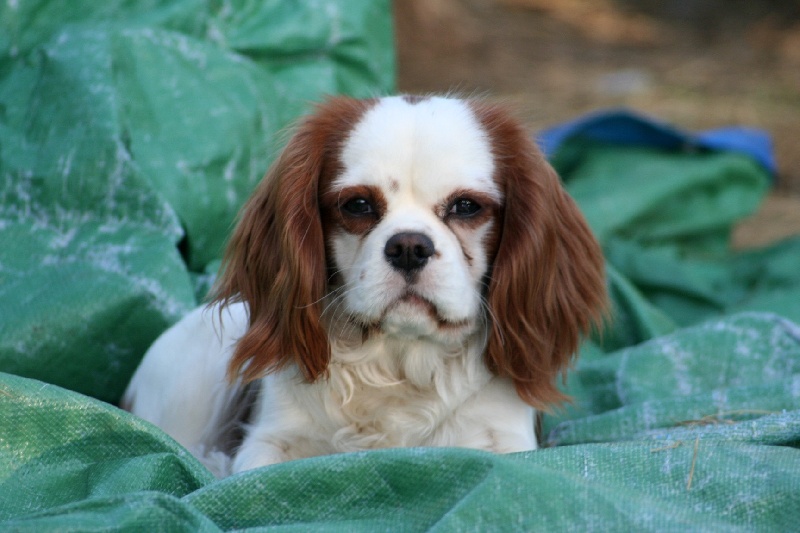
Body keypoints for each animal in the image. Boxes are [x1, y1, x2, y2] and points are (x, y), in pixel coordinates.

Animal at [122, 94, 604, 474]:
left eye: (466, 206)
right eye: (357, 204)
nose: (409, 247)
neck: (399, 363)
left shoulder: (506, 442)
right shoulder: (269, 444)